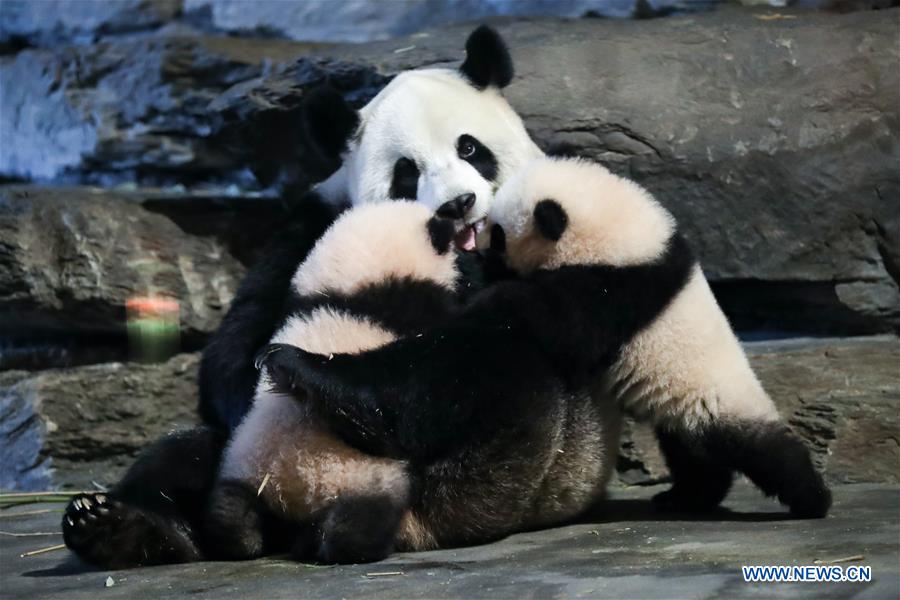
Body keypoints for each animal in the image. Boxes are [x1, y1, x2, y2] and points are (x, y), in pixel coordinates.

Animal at [264, 157, 832, 524]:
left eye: (497, 231)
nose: (473, 240)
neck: (625, 234)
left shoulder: (611, 289)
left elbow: (528, 317)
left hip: (713, 389)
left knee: (761, 448)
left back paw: (811, 498)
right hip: (682, 407)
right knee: (693, 449)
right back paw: (687, 497)